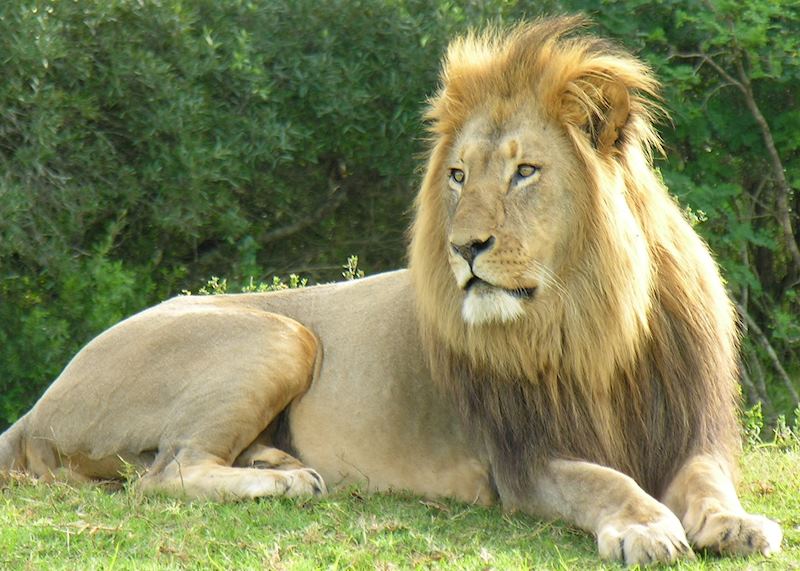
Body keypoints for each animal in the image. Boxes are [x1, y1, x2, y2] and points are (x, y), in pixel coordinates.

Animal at [0, 15, 780, 564]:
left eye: (525, 171)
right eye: (459, 176)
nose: (464, 246)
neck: (591, 324)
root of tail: (38, 404)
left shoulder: (688, 428)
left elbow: (709, 481)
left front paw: (737, 524)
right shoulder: (523, 461)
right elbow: (604, 480)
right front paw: (645, 525)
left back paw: (277, 461)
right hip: (281, 333)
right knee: (164, 474)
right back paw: (283, 481)